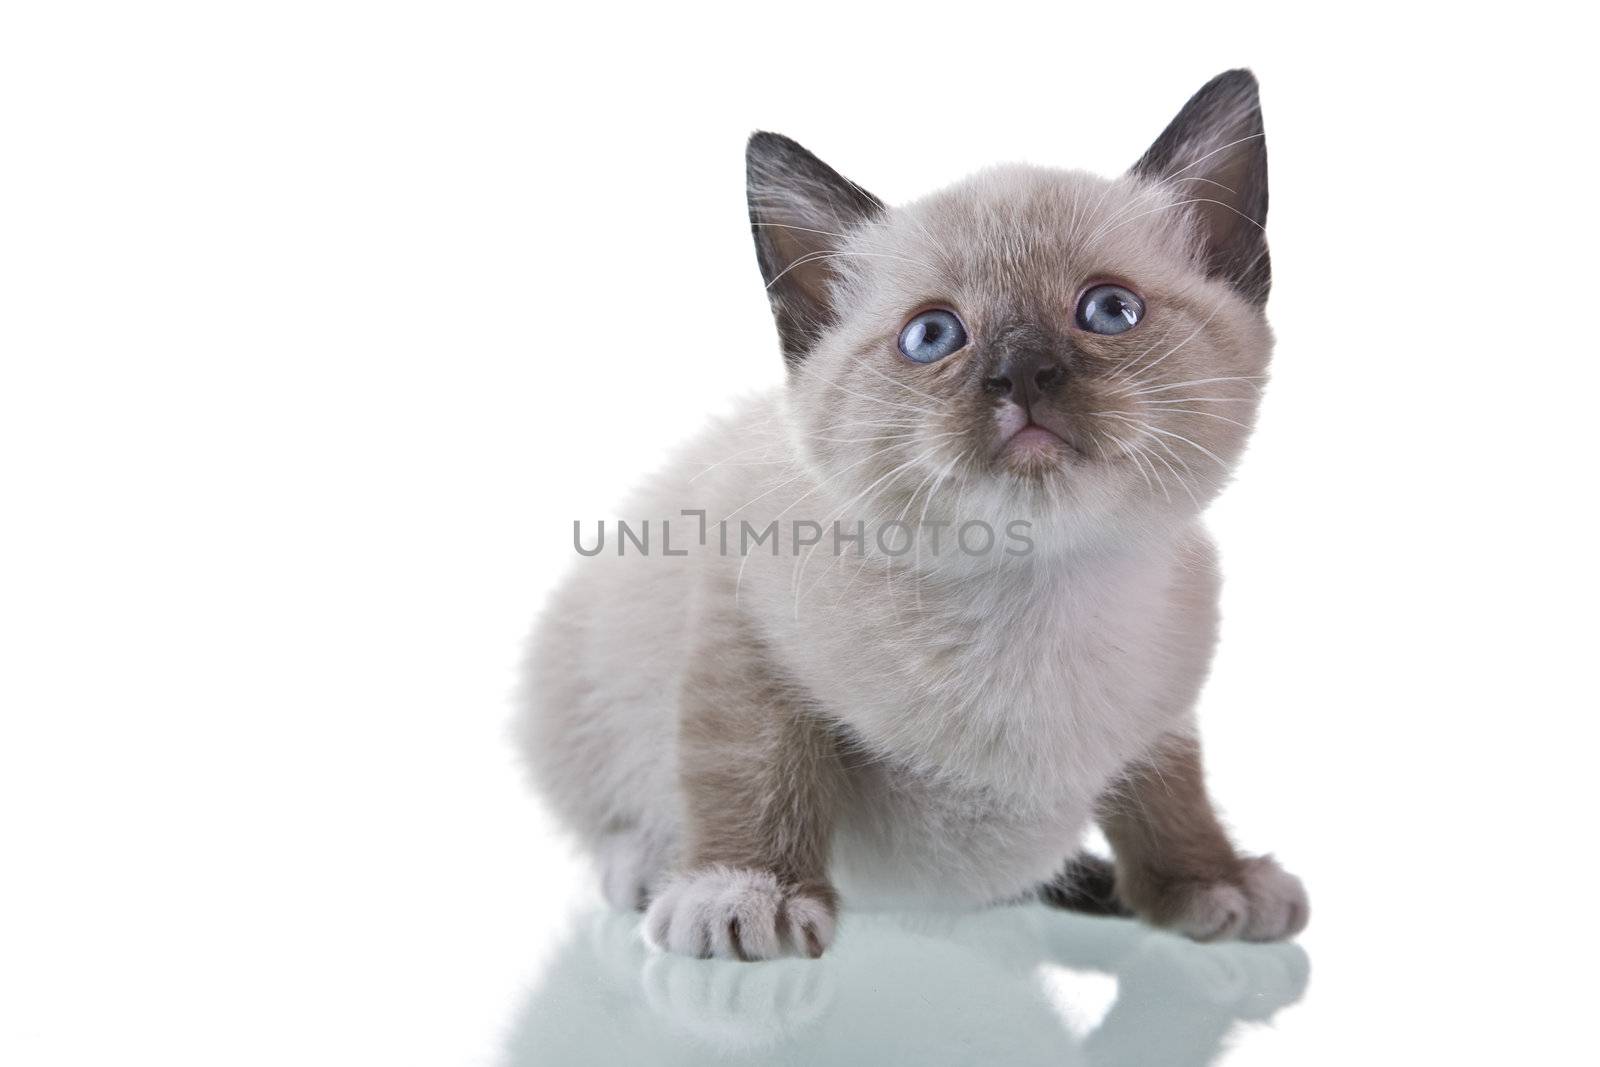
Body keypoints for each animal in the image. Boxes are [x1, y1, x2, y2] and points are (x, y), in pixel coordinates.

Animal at [518, 70, 1305, 966]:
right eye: (934, 335)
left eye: (1109, 311)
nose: (1022, 373)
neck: (1032, 591)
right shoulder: (742, 614)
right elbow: (754, 760)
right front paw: (746, 890)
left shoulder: (1165, 708)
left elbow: (1173, 791)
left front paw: (1210, 879)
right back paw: (645, 863)